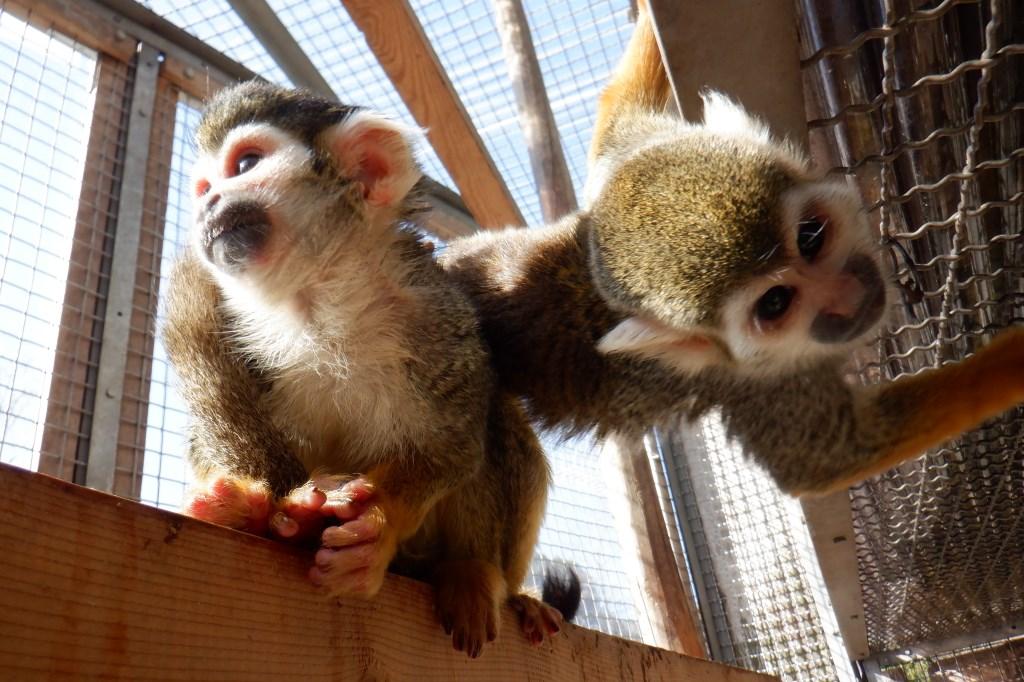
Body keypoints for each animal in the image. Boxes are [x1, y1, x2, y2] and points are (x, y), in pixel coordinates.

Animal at [163, 80, 573, 655]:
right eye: (202, 188)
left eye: (244, 164)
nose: (207, 204)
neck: (319, 298)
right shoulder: (221, 316)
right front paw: (249, 507)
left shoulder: (437, 313)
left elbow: (454, 443)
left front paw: (378, 521)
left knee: (499, 420)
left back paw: (476, 574)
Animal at [438, 5, 1024, 493]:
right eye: (775, 303)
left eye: (811, 238)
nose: (848, 293)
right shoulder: (752, 384)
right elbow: (828, 460)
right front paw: (1010, 363)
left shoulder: (626, 158)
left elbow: (618, 111)